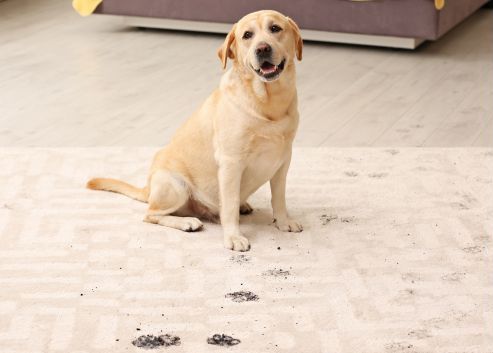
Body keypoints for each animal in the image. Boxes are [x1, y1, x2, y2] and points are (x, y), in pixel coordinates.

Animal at [87, 10, 304, 250]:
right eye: (247, 35)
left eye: (275, 29)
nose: (263, 48)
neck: (267, 103)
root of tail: (148, 188)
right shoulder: (231, 163)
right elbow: (229, 208)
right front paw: (233, 237)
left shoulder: (283, 160)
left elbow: (279, 198)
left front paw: (283, 222)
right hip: (175, 185)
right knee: (151, 214)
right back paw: (187, 222)